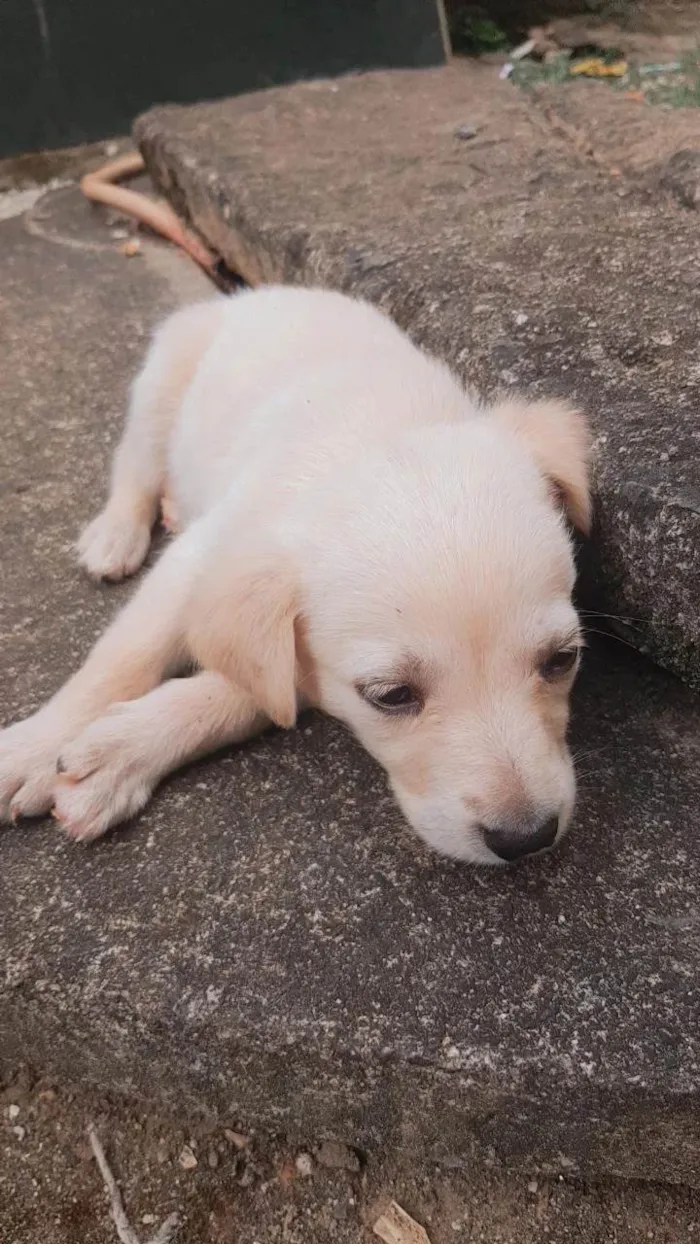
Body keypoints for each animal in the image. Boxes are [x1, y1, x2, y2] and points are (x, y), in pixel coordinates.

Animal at [0, 284, 591, 860]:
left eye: (562, 659)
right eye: (392, 696)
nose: (526, 838)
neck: (371, 438)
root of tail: (257, 292)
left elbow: (252, 690)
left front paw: (121, 754)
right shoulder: (196, 560)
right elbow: (124, 659)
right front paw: (35, 750)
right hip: (160, 385)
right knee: (134, 467)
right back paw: (115, 535)